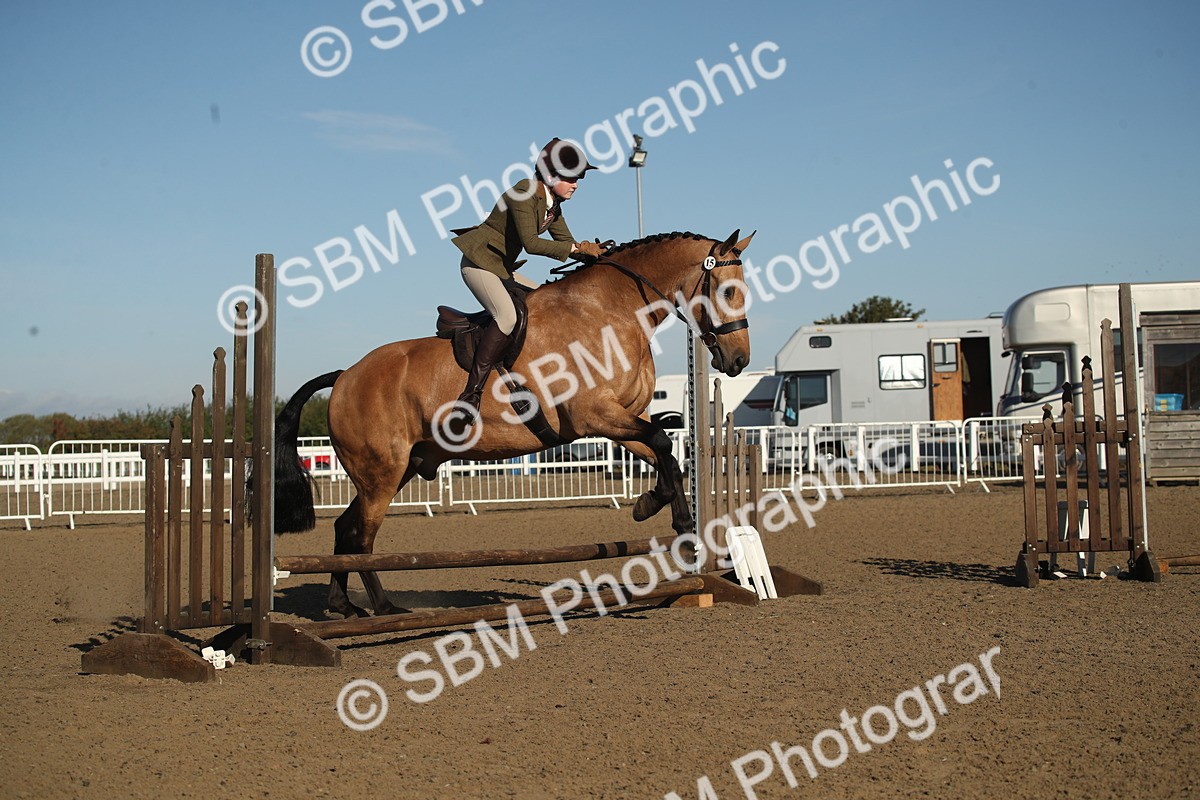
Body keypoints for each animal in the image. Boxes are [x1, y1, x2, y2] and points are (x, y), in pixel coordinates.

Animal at [273, 229, 756, 619]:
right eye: (729, 291)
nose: (738, 361)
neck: (612, 310)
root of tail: (344, 376)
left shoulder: (615, 419)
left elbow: (664, 450)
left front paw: (655, 508)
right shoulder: (594, 415)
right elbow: (660, 438)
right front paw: (676, 522)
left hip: (397, 469)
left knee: (345, 529)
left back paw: (342, 607)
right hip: (381, 474)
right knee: (362, 537)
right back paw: (384, 607)